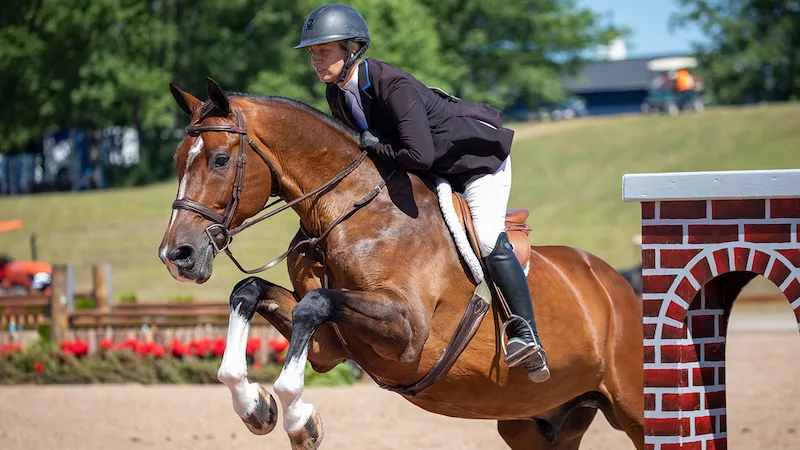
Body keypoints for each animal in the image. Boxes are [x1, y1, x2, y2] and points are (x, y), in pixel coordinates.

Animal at [158, 78, 644, 450]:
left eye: (220, 160)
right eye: (178, 160)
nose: (176, 255)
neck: (347, 212)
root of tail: (620, 288)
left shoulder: (409, 330)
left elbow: (315, 303)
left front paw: (299, 420)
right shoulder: (330, 346)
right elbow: (251, 292)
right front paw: (256, 407)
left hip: (634, 408)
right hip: (537, 423)